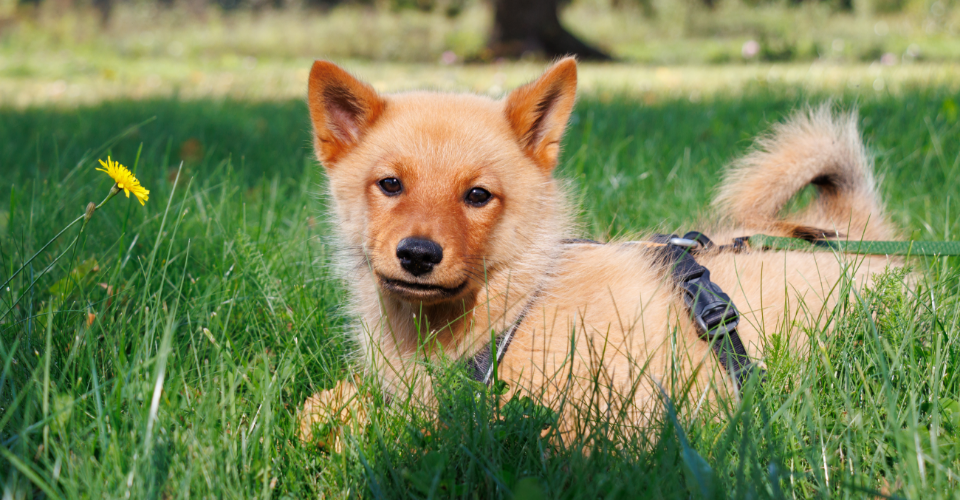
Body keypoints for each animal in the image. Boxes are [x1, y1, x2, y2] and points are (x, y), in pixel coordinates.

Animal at [298, 58, 900, 446]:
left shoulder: (601, 423)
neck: (517, 305)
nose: (418, 255)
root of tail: (856, 230)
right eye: (390, 185)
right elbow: (324, 406)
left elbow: (438, 429)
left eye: (478, 196)